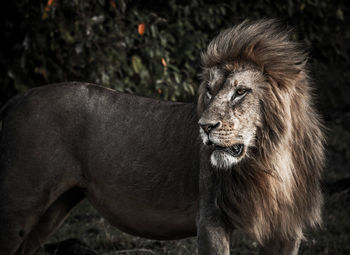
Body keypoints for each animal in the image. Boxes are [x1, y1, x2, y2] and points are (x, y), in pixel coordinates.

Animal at [0, 18, 322, 254]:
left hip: (53, 209)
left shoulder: (287, 229)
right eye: (209, 91)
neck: (269, 159)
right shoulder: (210, 219)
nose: (204, 126)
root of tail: (15, 100)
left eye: (241, 91)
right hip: (19, 205)